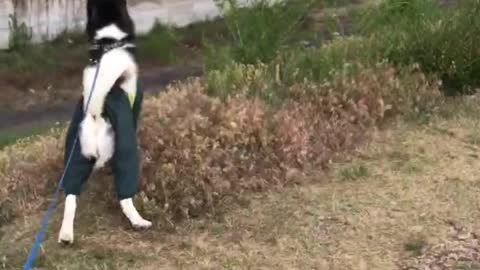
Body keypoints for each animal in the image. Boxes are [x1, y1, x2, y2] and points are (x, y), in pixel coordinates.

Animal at [58, 0, 152, 245]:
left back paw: (66, 235)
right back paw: (139, 222)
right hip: (123, 154)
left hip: (76, 157)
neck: (109, 42)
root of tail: (95, 112)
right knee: (125, 198)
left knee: (70, 198)